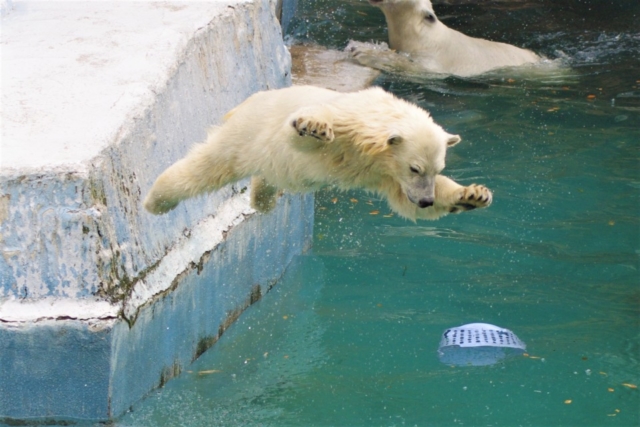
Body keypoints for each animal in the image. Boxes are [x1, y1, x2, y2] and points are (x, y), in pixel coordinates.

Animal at [145, 85, 492, 222]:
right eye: (415, 168)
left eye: (436, 169)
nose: (426, 199)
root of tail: (245, 104)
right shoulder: (347, 123)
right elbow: (303, 133)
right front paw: (312, 126)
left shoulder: (384, 174)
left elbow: (401, 202)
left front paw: (473, 195)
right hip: (245, 136)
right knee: (205, 167)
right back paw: (154, 201)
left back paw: (262, 198)